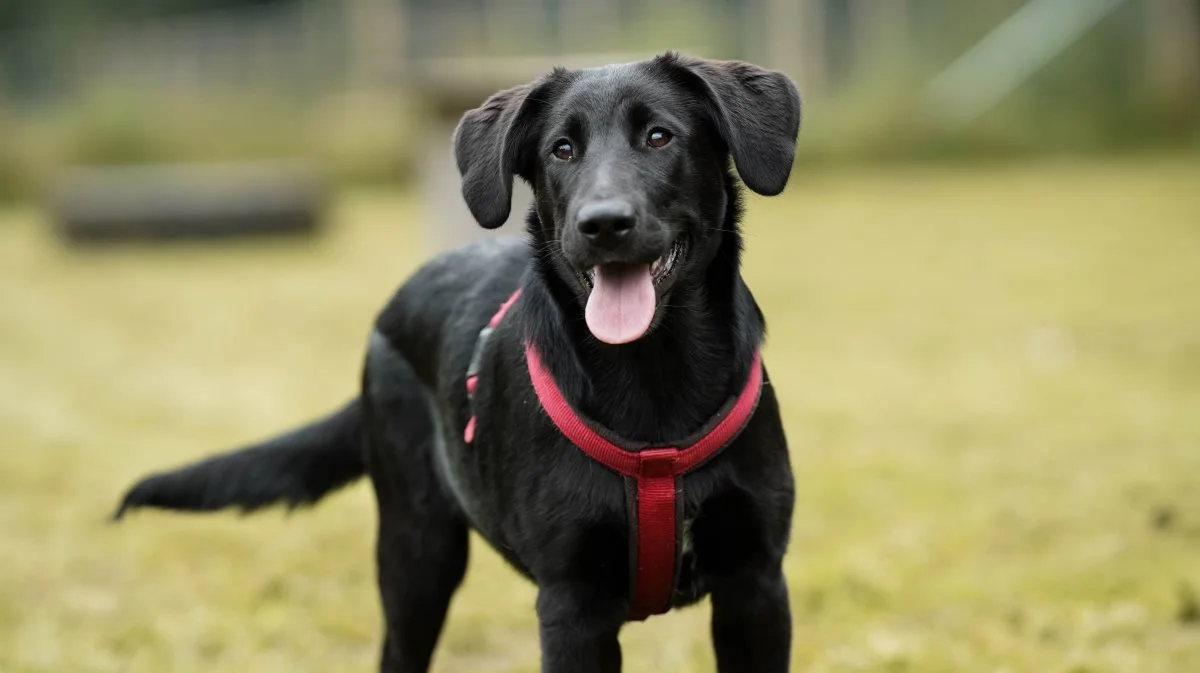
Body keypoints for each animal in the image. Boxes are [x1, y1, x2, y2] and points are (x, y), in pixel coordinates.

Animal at [117, 49, 801, 667]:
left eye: (660, 136)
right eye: (561, 150)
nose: (603, 223)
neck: (653, 376)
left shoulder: (756, 588)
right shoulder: (572, 606)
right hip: (416, 556)